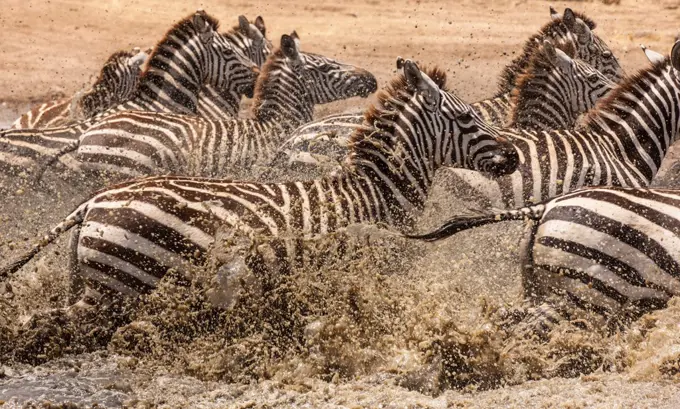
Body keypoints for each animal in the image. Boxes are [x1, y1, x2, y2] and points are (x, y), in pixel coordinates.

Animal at [0, 58, 516, 312]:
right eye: (466, 119)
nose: (512, 156)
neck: (373, 194)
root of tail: (93, 203)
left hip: (95, 282)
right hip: (120, 286)